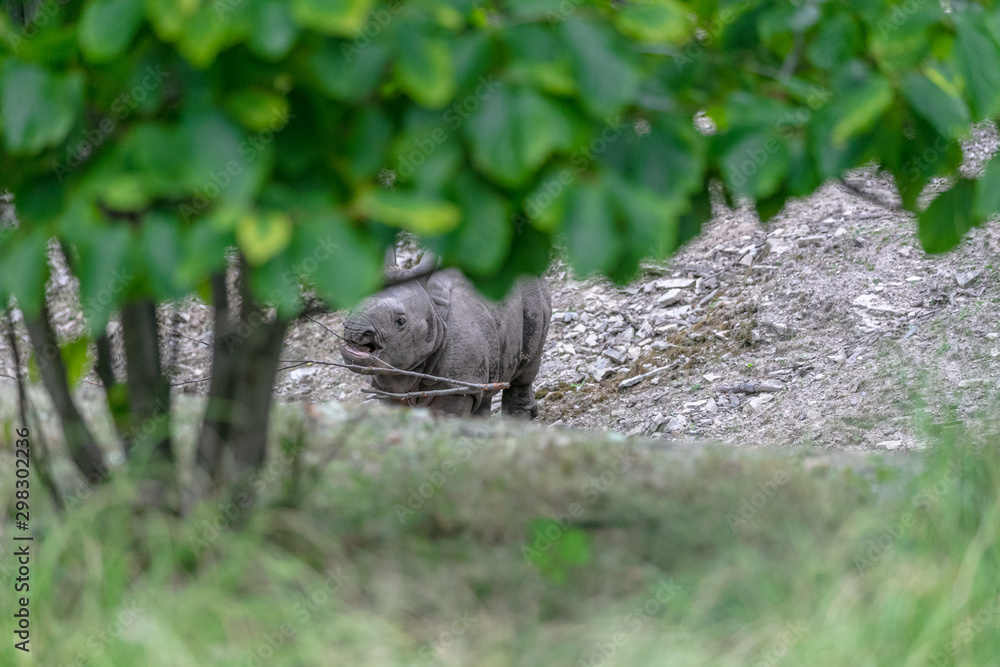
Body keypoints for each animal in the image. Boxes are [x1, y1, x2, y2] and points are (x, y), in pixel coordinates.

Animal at [340, 250, 551, 418]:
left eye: (400, 322)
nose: (355, 330)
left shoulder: (457, 385)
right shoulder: (387, 387)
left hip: (532, 290)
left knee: (528, 364)